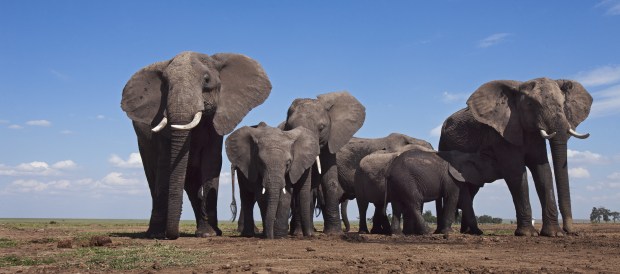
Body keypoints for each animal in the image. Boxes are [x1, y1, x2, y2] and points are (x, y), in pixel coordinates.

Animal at [121, 51, 272, 240]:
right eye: (165, 84)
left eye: (206, 80)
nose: (172, 235)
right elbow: (164, 164)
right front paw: (157, 234)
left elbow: (211, 162)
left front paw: (208, 234)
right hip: (142, 142)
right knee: (154, 174)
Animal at [284, 90, 366, 235]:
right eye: (290, 128)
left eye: (321, 127)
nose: (309, 235)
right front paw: (300, 234)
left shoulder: (332, 139)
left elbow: (330, 180)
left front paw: (334, 233)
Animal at [438, 77, 592, 235]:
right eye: (531, 104)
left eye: (562, 104)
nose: (570, 231)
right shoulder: (500, 134)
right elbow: (516, 172)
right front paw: (528, 234)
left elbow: (543, 171)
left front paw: (554, 234)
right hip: (444, 143)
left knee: (472, 189)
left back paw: (469, 231)